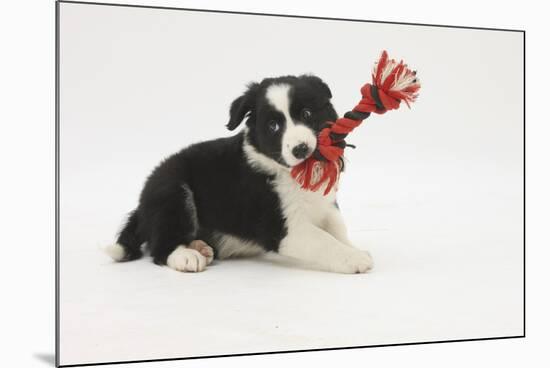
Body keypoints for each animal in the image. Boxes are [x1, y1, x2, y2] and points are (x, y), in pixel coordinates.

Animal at [106, 74, 376, 274]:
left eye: (307, 114)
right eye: (273, 126)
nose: (300, 149)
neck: (293, 173)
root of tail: (141, 207)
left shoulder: (326, 203)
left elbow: (337, 228)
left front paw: (354, 249)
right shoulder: (281, 226)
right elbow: (324, 241)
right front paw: (354, 259)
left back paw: (200, 247)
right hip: (172, 192)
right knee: (160, 247)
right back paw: (187, 256)